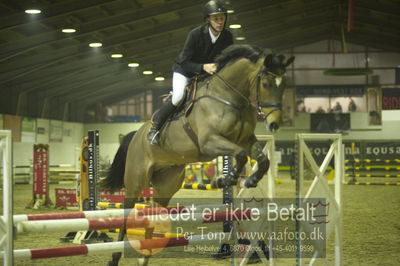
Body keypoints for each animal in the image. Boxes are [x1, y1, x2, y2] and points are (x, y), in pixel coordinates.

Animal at [101, 44, 292, 266]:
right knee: (126, 213)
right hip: (136, 180)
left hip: (167, 183)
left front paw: (249, 180)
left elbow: (262, 160)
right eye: (267, 84)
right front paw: (226, 179)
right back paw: (115, 257)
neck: (230, 98)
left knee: (154, 212)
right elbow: (241, 155)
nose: (275, 124)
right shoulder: (209, 142)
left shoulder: (246, 140)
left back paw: (144, 256)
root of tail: (135, 135)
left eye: (284, 84)